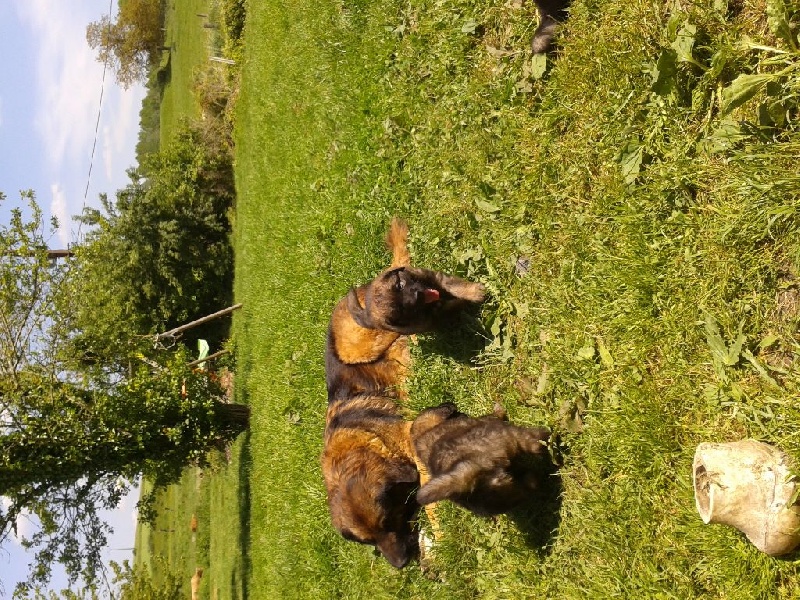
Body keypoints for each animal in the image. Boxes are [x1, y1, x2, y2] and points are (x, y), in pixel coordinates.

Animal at [322, 219, 484, 568]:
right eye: (369, 541)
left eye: (388, 521)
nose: (400, 565)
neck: (366, 440)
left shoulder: (410, 436)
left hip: (364, 342)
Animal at [410, 404, 552, 516]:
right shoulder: (489, 419)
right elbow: (496, 414)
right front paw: (499, 409)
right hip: (513, 435)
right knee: (538, 443)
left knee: (530, 482)